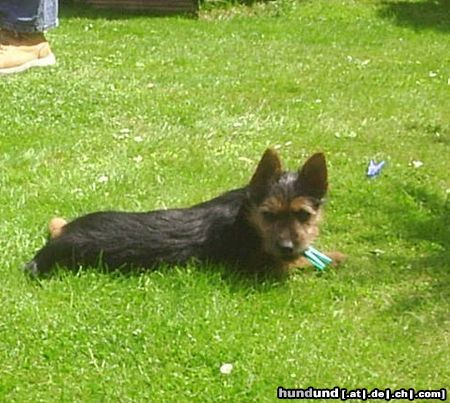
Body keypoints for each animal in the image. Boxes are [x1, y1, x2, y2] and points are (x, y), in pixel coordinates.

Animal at [24, 149, 346, 278]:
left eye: (304, 215)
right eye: (268, 215)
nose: (287, 246)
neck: (247, 218)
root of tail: (57, 243)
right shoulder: (266, 267)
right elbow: (303, 263)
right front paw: (339, 259)